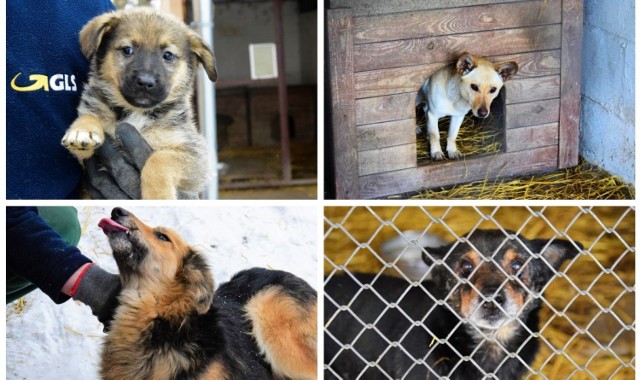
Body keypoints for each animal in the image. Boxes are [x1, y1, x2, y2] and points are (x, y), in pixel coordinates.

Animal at [62, 8, 218, 199]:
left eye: (168, 55)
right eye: (127, 50)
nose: (145, 81)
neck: (135, 111)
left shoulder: (196, 156)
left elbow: (158, 159)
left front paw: (157, 196)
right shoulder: (85, 159)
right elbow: (89, 117)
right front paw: (83, 130)